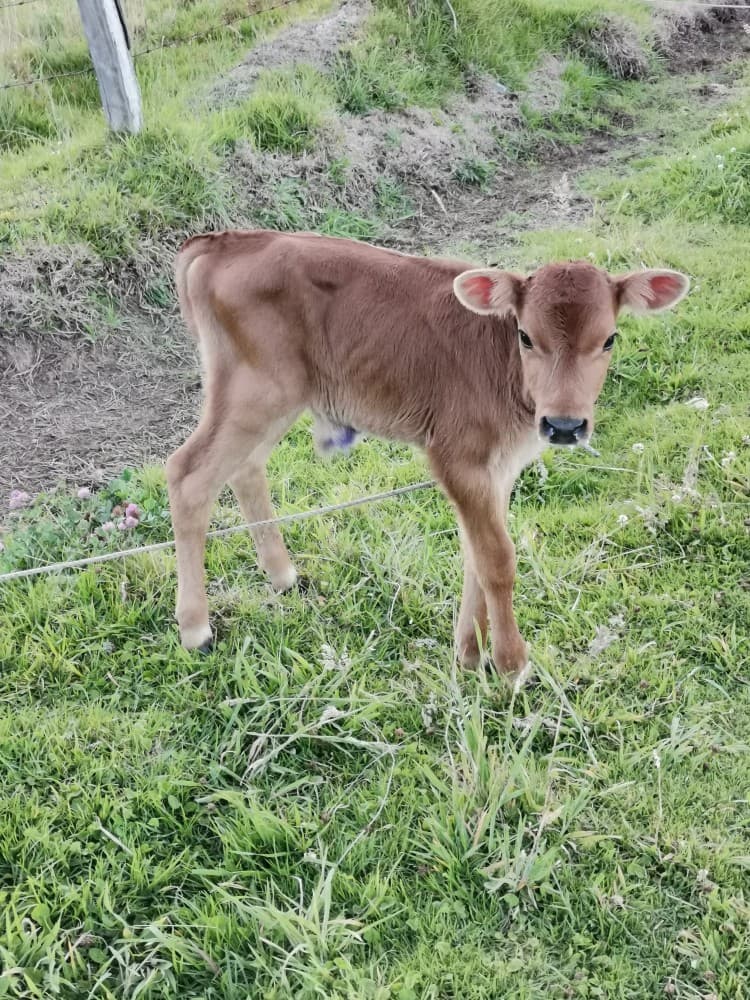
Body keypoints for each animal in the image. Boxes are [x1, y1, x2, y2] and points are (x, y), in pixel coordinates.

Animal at [166, 230, 689, 677]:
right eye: (525, 336)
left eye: (609, 339)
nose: (563, 426)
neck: (506, 372)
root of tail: (226, 241)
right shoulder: (456, 456)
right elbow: (497, 557)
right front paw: (511, 665)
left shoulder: (499, 468)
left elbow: (477, 551)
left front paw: (469, 653)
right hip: (257, 391)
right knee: (188, 475)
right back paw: (196, 630)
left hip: (277, 398)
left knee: (245, 468)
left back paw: (284, 577)